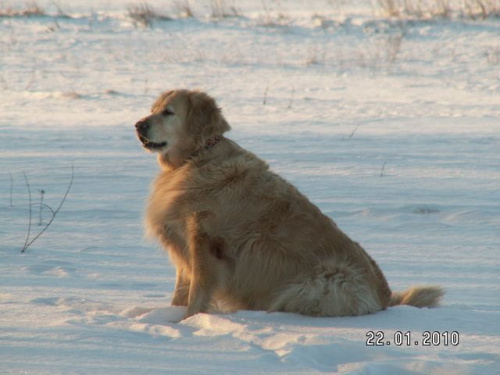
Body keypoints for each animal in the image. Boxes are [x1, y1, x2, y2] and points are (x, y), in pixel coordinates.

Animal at [135, 89, 444, 320]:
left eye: (168, 112)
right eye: (153, 109)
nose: (138, 124)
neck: (195, 158)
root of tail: (385, 299)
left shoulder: (206, 243)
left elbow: (197, 291)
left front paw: (189, 321)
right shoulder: (182, 241)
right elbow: (182, 288)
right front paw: (171, 317)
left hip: (323, 281)